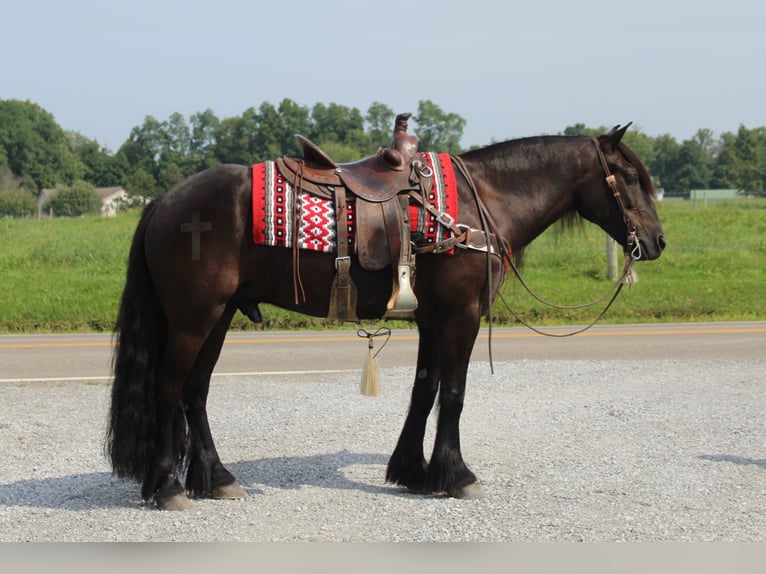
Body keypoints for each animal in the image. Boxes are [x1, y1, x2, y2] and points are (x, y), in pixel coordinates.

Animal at [106, 124, 664, 510]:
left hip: (217, 317)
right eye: (630, 177)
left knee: (195, 392)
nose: (656, 241)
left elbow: (424, 390)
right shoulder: (460, 315)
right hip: (193, 319)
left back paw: (216, 479)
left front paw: (412, 471)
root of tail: (163, 201)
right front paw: (457, 475)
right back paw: (167, 486)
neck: (482, 202)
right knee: (168, 388)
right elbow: (454, 393)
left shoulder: (433, 319)